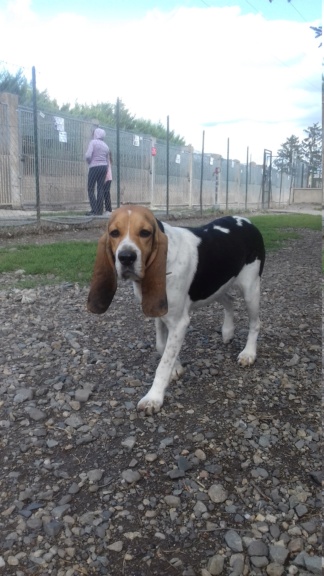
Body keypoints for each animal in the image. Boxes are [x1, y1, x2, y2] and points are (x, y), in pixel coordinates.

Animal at [87, 206, 264, 414]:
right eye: (114, 233)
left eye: (145, 232)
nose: (126, 257)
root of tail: (247, 221)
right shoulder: (159, 311)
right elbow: (162, 346)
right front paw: (176, 367)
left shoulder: (179, 323)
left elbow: (163, 364)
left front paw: (154, 398)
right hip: (213, 286)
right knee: (229, 301)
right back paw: (227, 331)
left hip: (250, 289)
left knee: (255, 323)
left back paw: (249, 353)